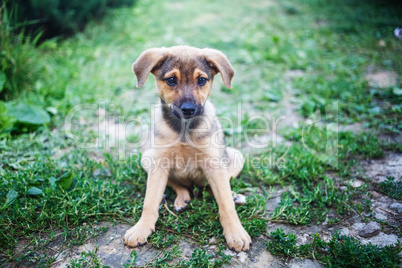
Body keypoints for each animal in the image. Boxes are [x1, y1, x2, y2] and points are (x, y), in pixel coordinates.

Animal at [124, 45, 251, 252]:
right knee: (180, 185)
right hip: (146, 158)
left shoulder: (214, 164)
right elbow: (149, 202)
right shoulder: (158, 164)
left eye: (201, 80)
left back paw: (234, 196)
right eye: (171, 80)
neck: (184, 129)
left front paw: (235, 233)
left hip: (235, 157)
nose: (189, 109)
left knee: (214, 188)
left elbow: (225, 203)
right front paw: (140, 229)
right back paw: (182, 199)